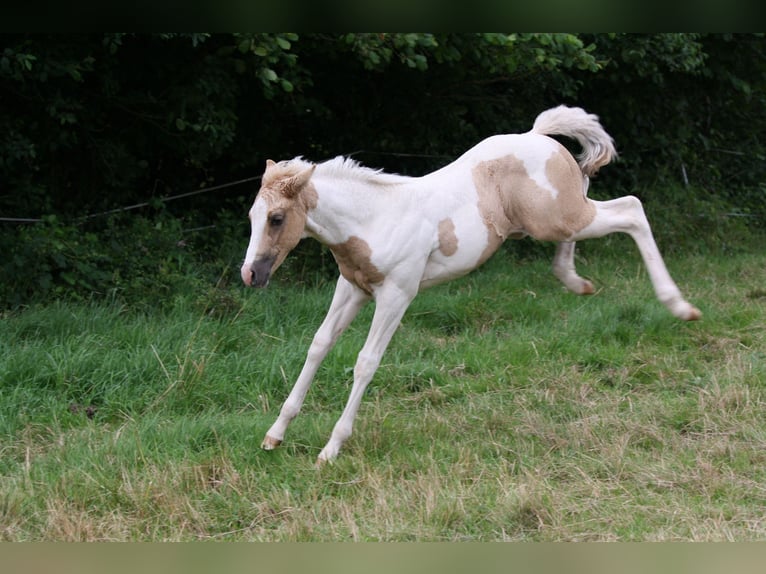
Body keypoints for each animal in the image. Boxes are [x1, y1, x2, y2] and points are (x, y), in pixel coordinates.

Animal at [242, 106, 704, 466]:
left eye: (277, 219)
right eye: (252, 216)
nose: (250, 275)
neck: (374, 218)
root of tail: (539, 136)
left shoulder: (397, 295)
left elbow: (365, 362)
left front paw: (331, 449)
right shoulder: (352, 288)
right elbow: (319, 345)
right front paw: (274, 434)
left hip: (562, 217)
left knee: (632, 209)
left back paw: (679, 306)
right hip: (557, 218)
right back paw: (575, 281)